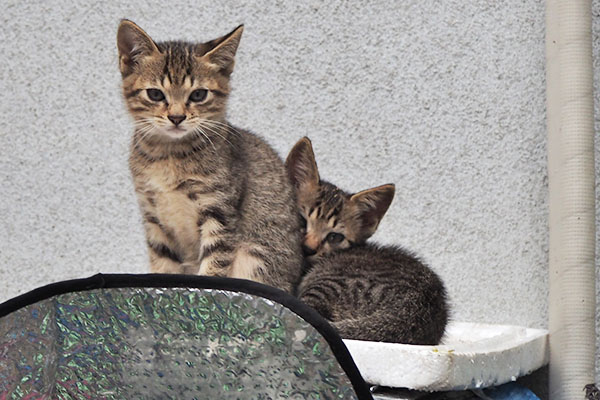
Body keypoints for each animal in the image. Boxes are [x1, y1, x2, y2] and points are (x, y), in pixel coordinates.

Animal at [116, 20, 304, 292]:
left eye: (198, 95)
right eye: (155, 94)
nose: (176, 117)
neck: (169, 155)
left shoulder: (220, 210)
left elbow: (214, 267)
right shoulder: (153, 218)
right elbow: (163, 268)